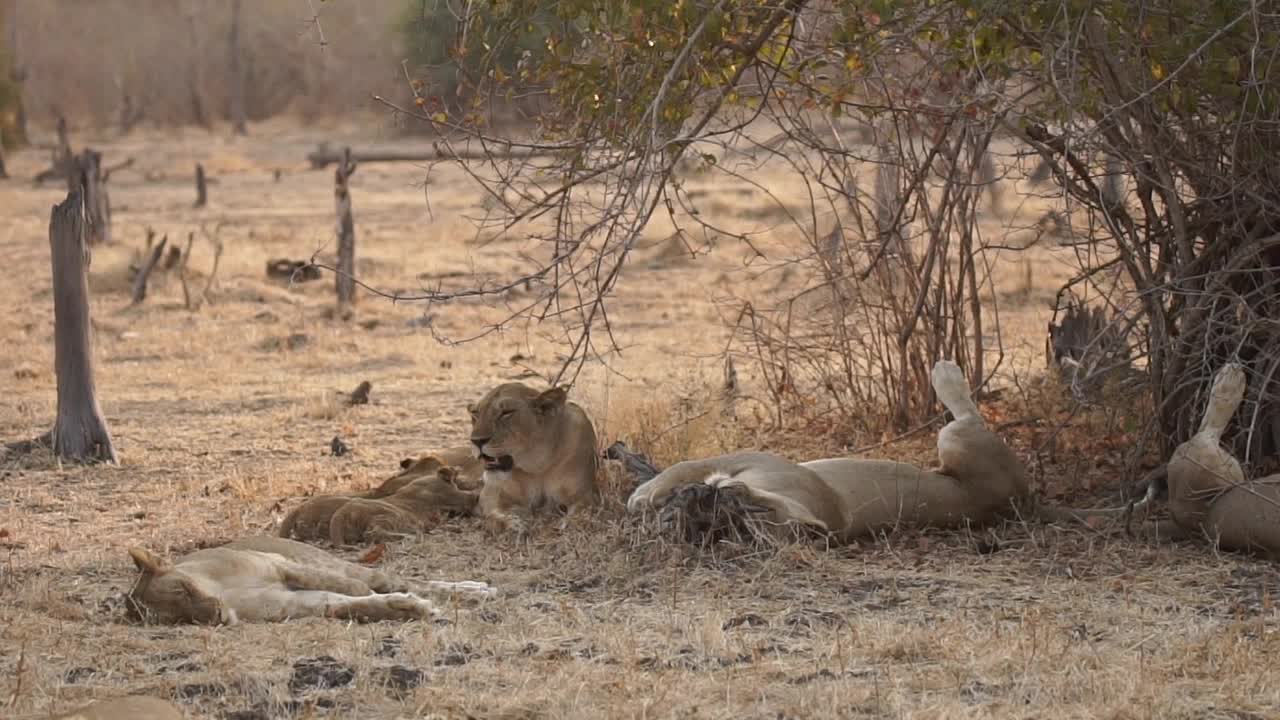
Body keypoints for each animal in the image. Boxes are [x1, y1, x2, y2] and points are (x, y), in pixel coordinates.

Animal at [624, 358, 1136, 538]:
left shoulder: (754, 458)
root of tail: (1024, 502)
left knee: (967, 412)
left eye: (751, 514)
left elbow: (683, 465)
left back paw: (945, 369)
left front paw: (643, 494)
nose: (712, 502)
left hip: (958, 439)